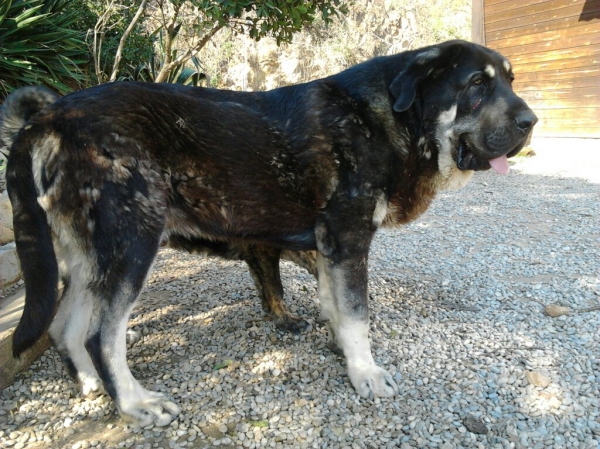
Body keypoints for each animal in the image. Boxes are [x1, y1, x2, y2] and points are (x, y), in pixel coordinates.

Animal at [0, 40, 536, 426]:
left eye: (510, 82)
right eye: (476, 84)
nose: (531, 121)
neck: (394, 121)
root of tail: (48, 117)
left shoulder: (328, 245)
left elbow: (336, 307)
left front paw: (342, 350)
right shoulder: (348, 238)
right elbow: (357, 315)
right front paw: (364, 373)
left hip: (89, 258)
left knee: (63, 326)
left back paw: (91, 387)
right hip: (133, 246)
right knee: (99, 335)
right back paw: (133, 403)